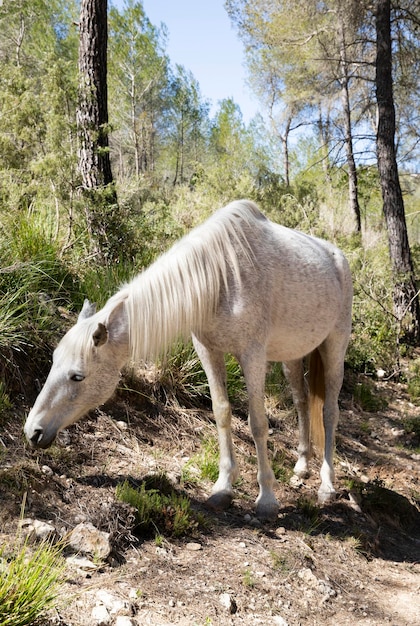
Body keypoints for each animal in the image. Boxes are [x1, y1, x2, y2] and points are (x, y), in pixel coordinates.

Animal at [23, 199, 352, 516]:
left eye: (77, 376)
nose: (32, 431)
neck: (221, 278)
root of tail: (337, 256)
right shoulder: (208, 351)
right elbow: (221, 413)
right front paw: (223, 488)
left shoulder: (252, 356)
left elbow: (258, 423)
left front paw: (267, 499)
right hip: (292, 355)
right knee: (301, 401)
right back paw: (302, 465)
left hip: (334, 347)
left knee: (329, 412)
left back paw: (326, 485)